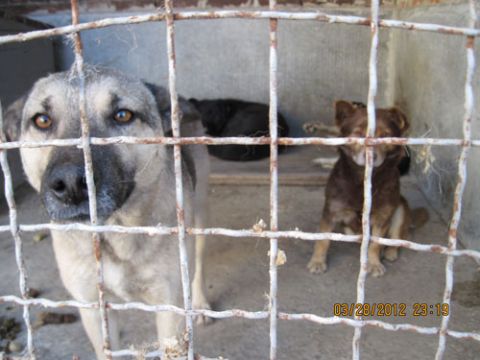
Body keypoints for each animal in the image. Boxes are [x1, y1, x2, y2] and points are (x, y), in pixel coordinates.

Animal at [3, 66, 210, 358]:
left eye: (123, 115)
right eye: (42, 120)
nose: (70, 184)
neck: (113, 233)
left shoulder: (170, 308)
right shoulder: (91, 305)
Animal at [308, 100, 424, 278]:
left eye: (384, 136)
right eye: (357, 133)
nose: (371, 156)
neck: (362, 180)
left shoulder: (383, 217)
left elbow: (376, 244)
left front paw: (374, 263)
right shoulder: (331, 211)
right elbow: (323, 240)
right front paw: (317, 261)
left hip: (400, 210)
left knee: (398, 238)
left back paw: (389, 252)